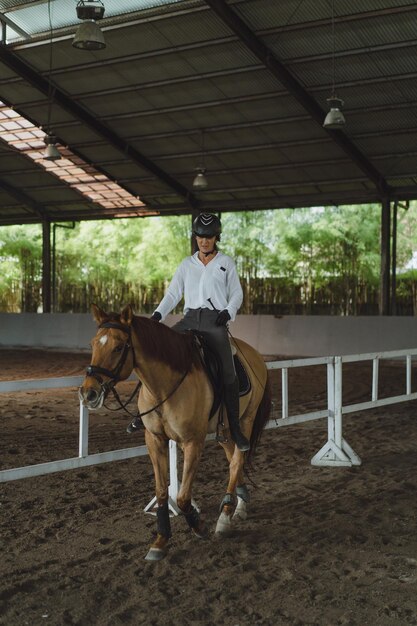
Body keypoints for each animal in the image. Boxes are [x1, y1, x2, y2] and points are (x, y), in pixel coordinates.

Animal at [79, 304, 272, 560]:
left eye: (119, 346)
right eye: (93, 344)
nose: (88, 393)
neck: (164, 385)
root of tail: (255, 355)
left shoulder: (192, 442)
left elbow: (181, 497)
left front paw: (199, 526)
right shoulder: (154, 440)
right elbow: (162, 492)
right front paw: (160, 541)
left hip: (245, 422)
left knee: (237, 459)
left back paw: (225, 517)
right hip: (224, 431)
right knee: (232, 458)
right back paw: (239, 504)